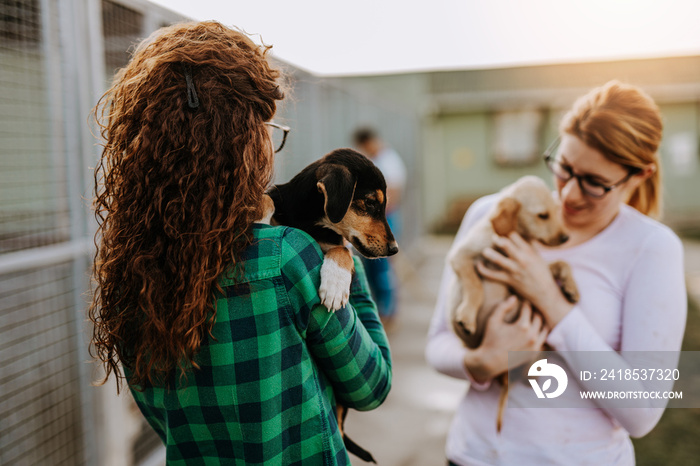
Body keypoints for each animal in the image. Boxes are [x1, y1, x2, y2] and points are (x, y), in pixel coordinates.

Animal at [258, 148, 400, 462]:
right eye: (370, 203)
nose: (395, 249)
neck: (311, 223)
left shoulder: (339, 246)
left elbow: (342, 251)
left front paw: (335, 284)